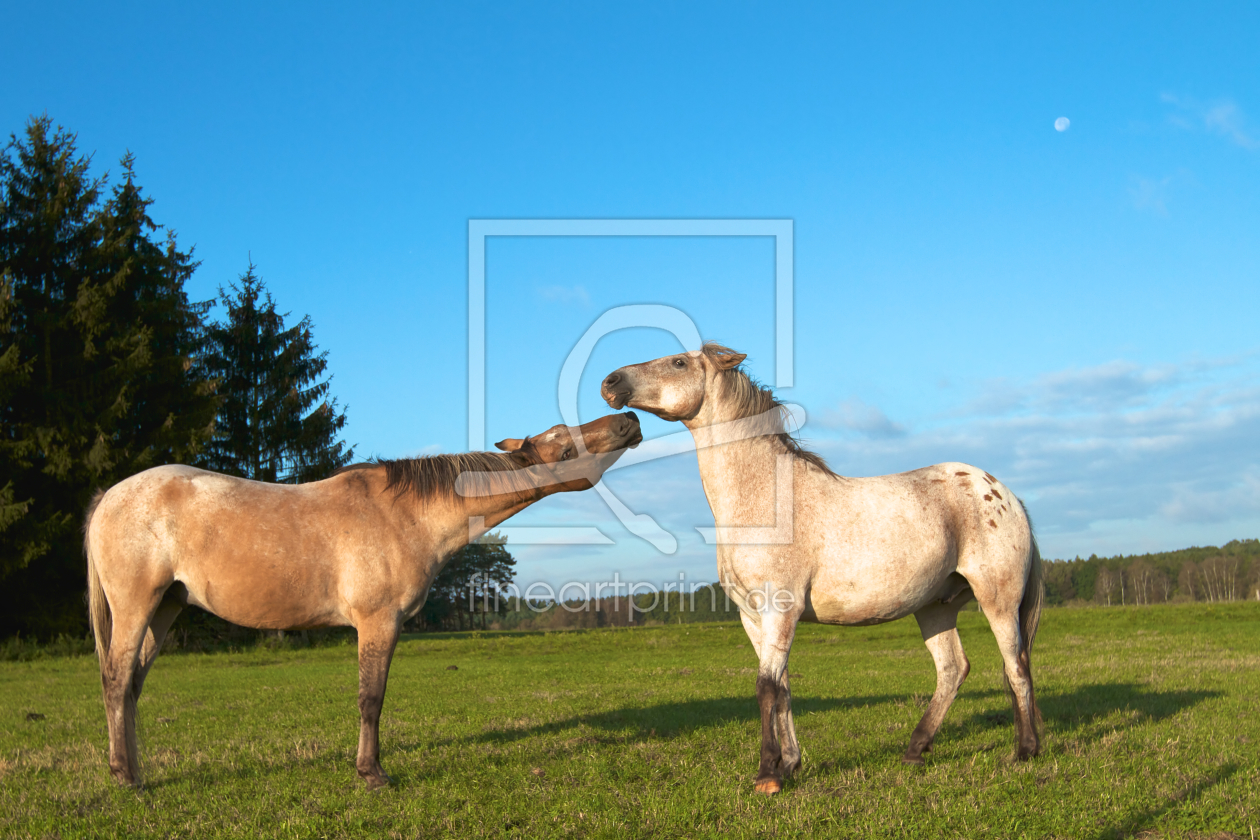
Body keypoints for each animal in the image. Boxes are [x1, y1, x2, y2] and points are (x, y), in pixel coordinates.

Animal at [86, 413, 640, 790]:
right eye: (562, 449)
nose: (628, 421)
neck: (405, 515)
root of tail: (109, 496)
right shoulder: (378, 622)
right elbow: (370, 699)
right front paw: (372, 773)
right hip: (136, 607)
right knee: (115, 681)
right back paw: (125, 777)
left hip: (165, 608)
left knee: (131, 686)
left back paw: (133, 771)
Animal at [602, 345, 1043, 790]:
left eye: (679, 362)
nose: (611, 382)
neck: (767, 500)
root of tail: (1006, 495)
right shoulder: (752, 617)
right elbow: (782, 689)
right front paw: (790, 764)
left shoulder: (780, 609)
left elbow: (765, 687)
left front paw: (768, 775)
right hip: (935, 606)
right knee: (953, 670)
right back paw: (915, 750)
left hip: (998, 601)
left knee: (1016, 666)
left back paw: (1025, 751)